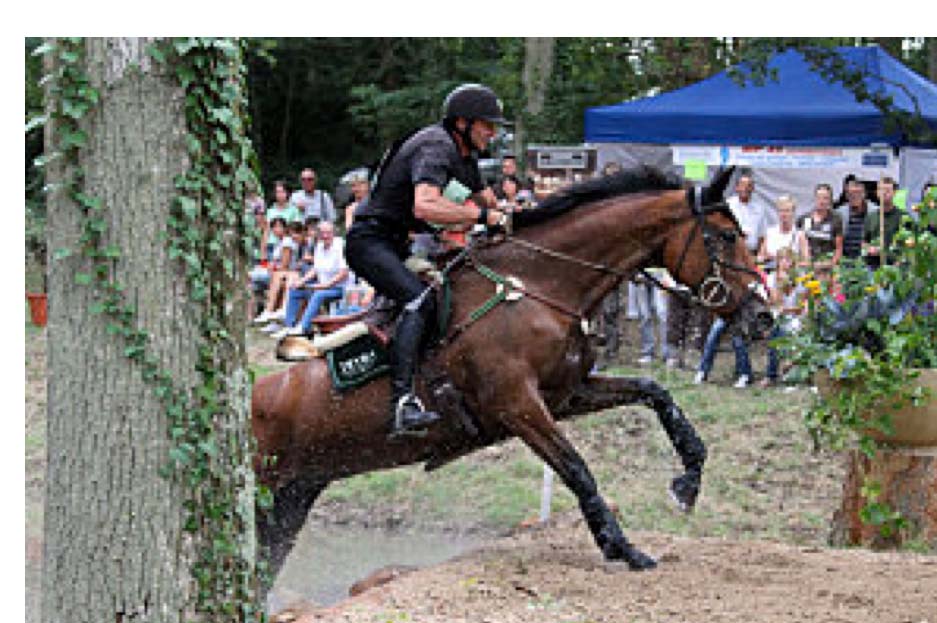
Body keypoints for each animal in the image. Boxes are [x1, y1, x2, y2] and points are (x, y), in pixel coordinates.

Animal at [252, 165, 772, 584]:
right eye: (727, 236)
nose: (764, 317)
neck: (538, 286)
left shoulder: (566, 393)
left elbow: (656, 393)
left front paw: (688, 482)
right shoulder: (517, 405)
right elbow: (578, 470)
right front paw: (622, 548)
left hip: (292, 496)